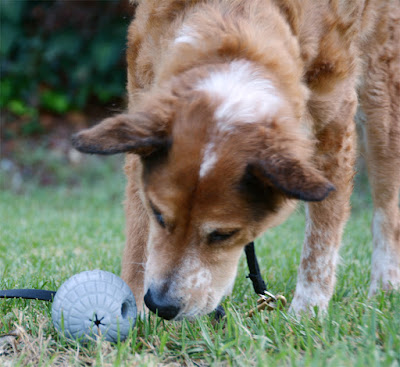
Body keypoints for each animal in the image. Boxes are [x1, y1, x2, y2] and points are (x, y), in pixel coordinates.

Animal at [72, 0, 400, 320]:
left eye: (224, 234)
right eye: (160, 216)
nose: (160, 306)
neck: (235, 25)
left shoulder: (334, 123)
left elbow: (322, 236)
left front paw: (306, 314)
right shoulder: (143, 93)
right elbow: (139, 231)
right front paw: (133, 308)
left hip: (380, 92)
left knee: (387, 207)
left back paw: (384, 290)